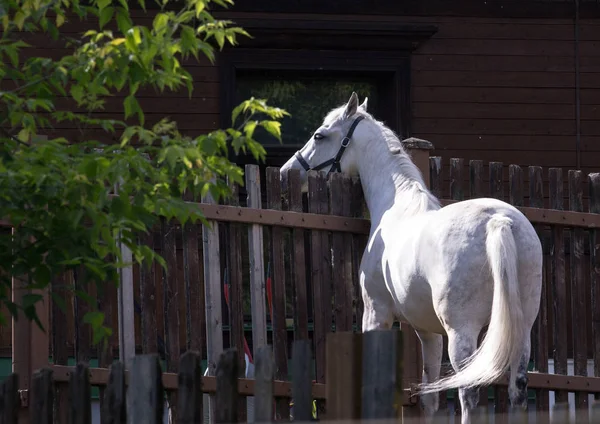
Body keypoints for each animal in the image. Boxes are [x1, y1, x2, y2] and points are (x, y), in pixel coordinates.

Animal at [280, 93, 544, 424]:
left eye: (319, 135)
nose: (287, 171)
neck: (396, 204)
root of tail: (499, 221)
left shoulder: (376, 313)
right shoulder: (428, 332)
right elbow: (429, 395)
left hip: (462, 331)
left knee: (469, 391)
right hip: (522, 330)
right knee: (517, 388)